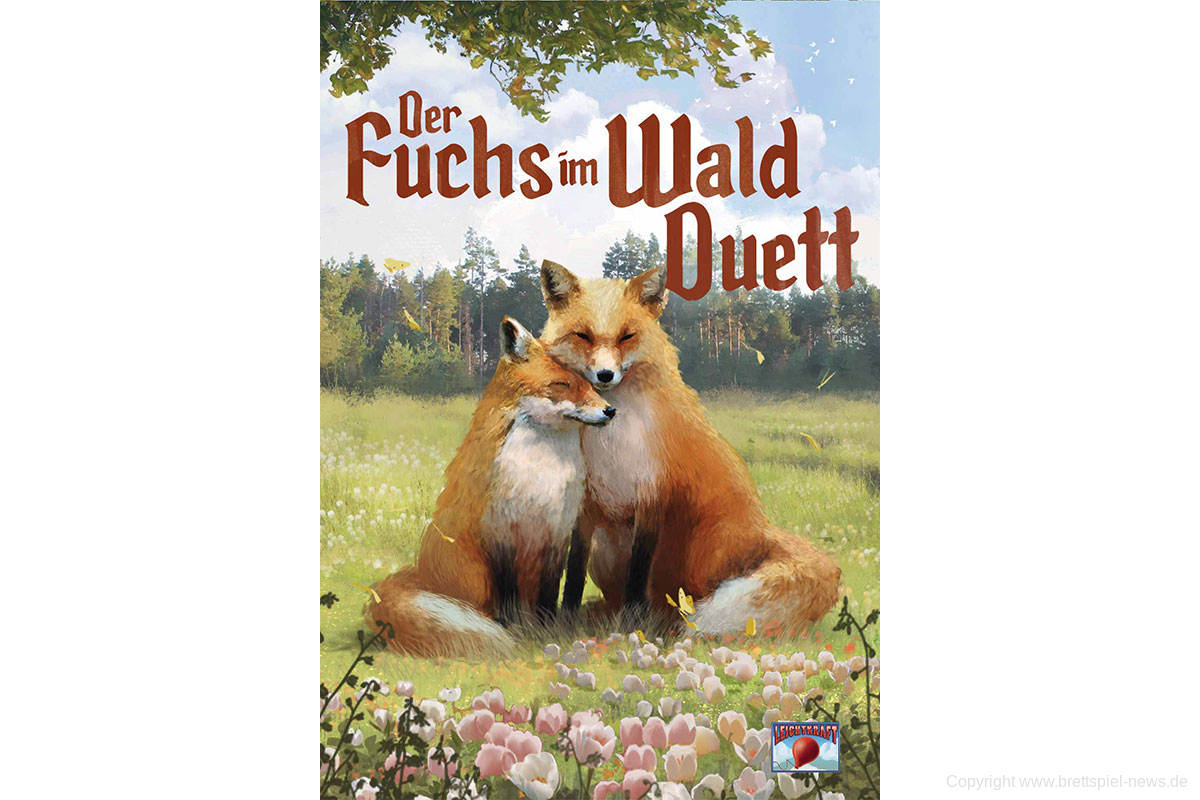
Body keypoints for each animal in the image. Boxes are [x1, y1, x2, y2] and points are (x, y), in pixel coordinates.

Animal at [366, 316, 615, 657]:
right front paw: (513, 630)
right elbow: (506, 594)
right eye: (561, 384)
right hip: (476, 574)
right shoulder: (499, 530)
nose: (610, 410)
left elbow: (550, 592)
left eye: (591, 384)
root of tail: (419, 574)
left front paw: (548, 629)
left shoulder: (556, 531)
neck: (539, 473)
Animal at [539, 260, 841, 633]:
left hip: (701, 548)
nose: (605, 375)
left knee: (681, 599)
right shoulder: (586, 504)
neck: (611, 442)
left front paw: (632, 625)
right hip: (606, 548)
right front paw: (564, 621)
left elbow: (638, 574)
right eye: (583, 335)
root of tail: (765, 531)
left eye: (627, 336)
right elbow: (574, 572)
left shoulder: (652, 495)